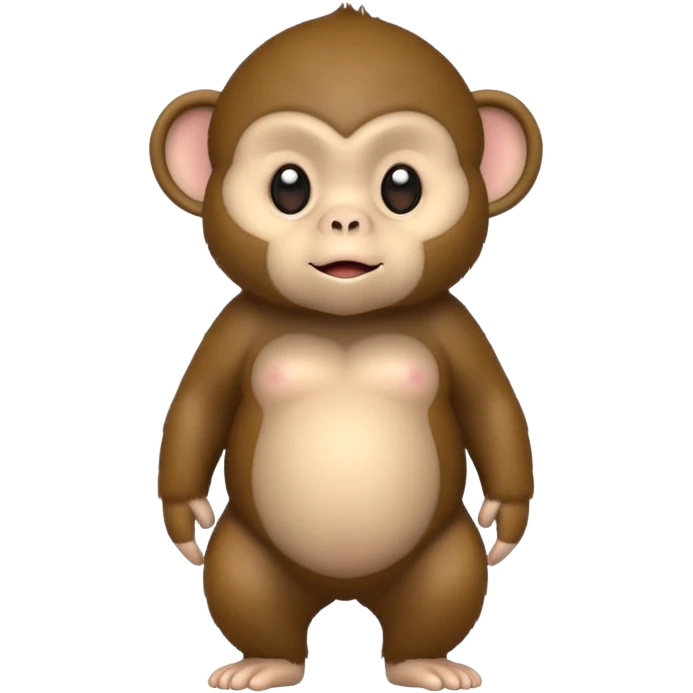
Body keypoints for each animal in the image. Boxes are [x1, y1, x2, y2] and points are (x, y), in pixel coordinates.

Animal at [149, 4, 542, 691]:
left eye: (402, 187)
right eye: (289, 187)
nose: (345, 220)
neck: (345, 321)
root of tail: (345, 593)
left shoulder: (454, 325)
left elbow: (493, 405)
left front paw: (507, 515)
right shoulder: (236, 324)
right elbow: (197, 404)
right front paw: (184, 514)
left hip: (441, 555)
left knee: (447, 587)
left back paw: (425, 664)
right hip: (249, 556)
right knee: (243, 587)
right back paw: (264, 663)